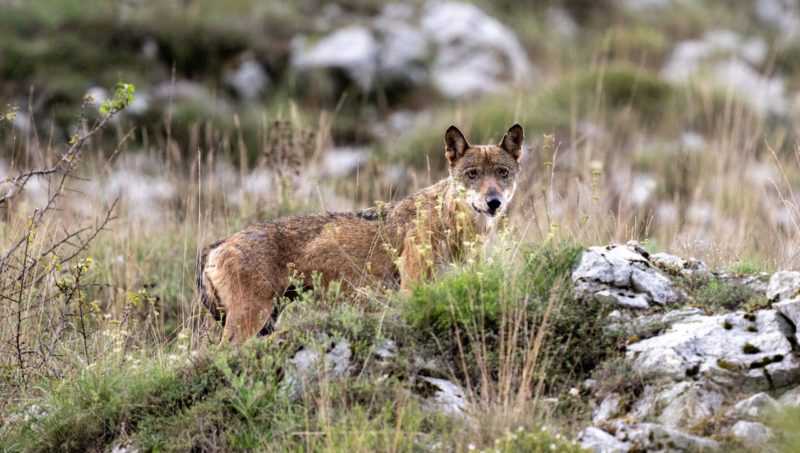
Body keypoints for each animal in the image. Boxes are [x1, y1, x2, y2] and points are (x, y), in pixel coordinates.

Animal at [197, 124, 524, 344]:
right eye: (472, 174)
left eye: (503, 173)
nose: (493, 202)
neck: (453, 225)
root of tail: (217, 245)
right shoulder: (411, 288)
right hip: (250, 321)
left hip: (266, 323)